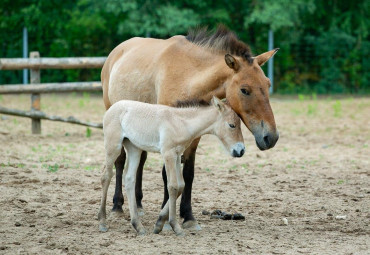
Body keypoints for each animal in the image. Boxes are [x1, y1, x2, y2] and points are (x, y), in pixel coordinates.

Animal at [97, 96, 246, 236]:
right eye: (232, 125)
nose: (241, 151)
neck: (180, 123)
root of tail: (112, 107)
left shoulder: (177, 155)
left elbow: (180, 186)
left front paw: (159, 223)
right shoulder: (168, 154)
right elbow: (173, 186)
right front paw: (175, 227)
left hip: (134, 148)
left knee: (129, 179)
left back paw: (138, 226)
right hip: (113, 147)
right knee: (106, 175)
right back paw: (102, 222)